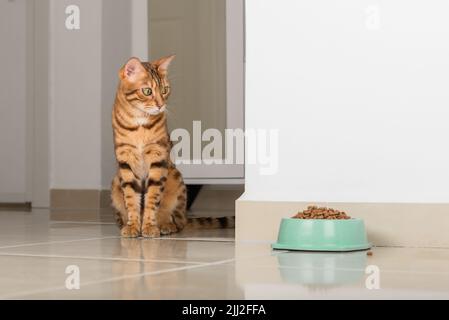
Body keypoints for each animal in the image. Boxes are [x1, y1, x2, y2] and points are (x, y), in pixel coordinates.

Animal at [110, 56, 234, 238]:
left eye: (165, 90)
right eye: (147, 91)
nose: (161, 105)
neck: (139, 123)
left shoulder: (158, 158)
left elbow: (153, 198)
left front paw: (149, 226)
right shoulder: (125, 160)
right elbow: (131, 198)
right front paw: (133, 226)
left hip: (176, 179)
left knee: (178, 221)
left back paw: (166, 225)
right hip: (115, 183)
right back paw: (125, 223)